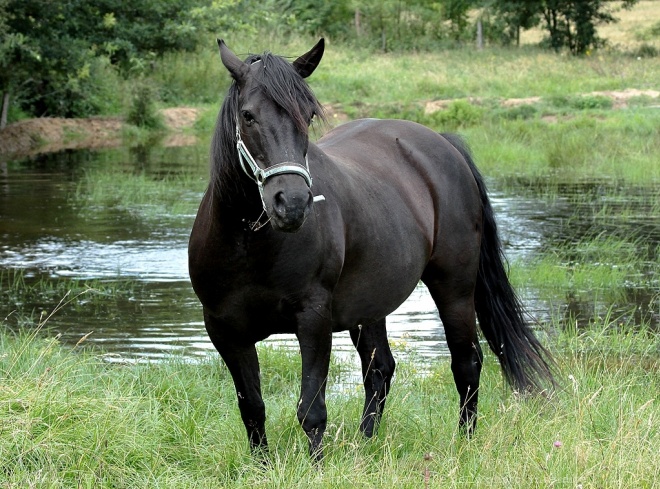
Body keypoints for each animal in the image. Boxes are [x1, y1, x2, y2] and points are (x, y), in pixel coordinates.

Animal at [188, 39, 556, 462]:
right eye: (248, 116)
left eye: (307, 116)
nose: (292, 203)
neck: (249, 244)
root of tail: (442, 144)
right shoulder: (224, 330)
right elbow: (252, 407)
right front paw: (262, 466)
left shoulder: (313, 319)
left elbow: (311, 408)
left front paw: (316, 466)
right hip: (369, 304)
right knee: (380, 369)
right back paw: (366, 444)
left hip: (455, 287)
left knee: (466, 363)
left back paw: (463, 441)